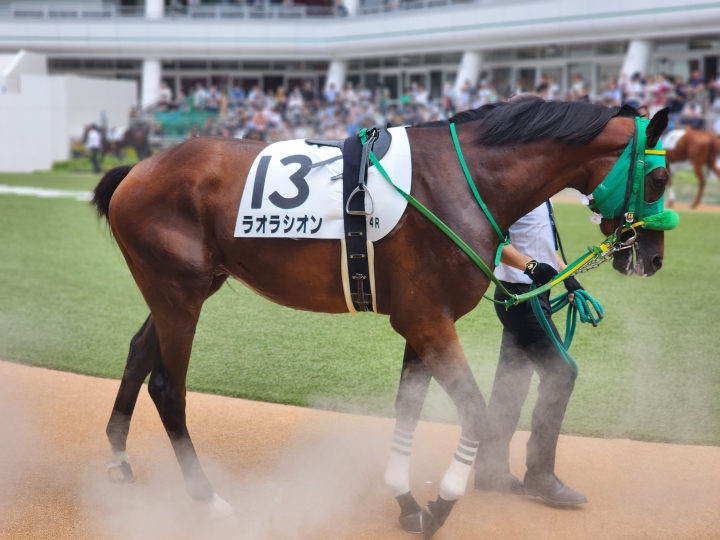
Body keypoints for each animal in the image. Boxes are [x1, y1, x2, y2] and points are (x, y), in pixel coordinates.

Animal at [91, 101, 669, 538]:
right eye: (661, 176)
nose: (653, 258)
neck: (463, 181)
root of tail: (138, 168)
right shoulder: (429, 321)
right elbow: (477, 415)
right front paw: (439, 507)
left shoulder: (421, 321)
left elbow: (407, 409)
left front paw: (406, 500)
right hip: (178, 293)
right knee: (168, 386)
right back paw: (208, 501)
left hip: (185, 289)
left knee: (139, 354)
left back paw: (119, 460)